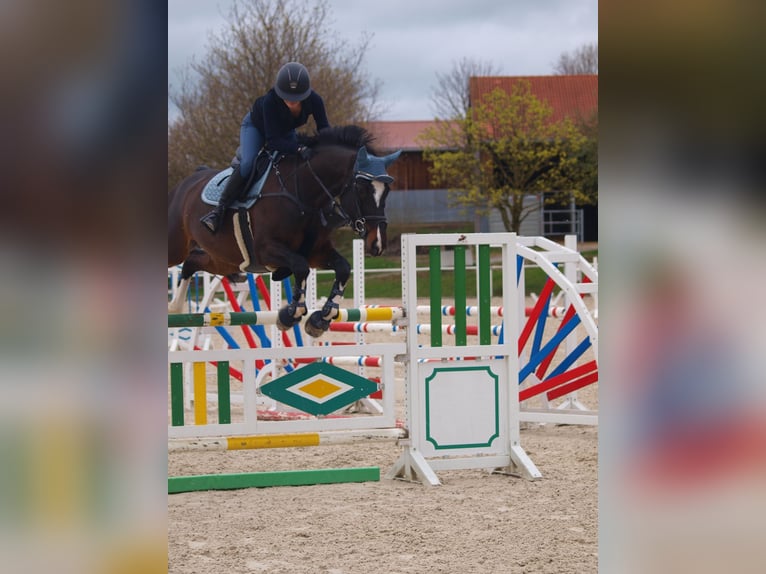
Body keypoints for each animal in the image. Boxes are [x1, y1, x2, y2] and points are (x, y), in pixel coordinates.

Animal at [169, 126, 402, 340]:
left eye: (387, 191)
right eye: (361, 189)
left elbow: (342, 268)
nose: (377, 244)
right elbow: (300, 267)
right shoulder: (266, 250)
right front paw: (291, 314)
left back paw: (175, 307)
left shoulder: (317, 253)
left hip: (224, 260)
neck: (303, 195)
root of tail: (186, 182)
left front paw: (321, 318)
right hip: (179, 248)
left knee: (191, 262)